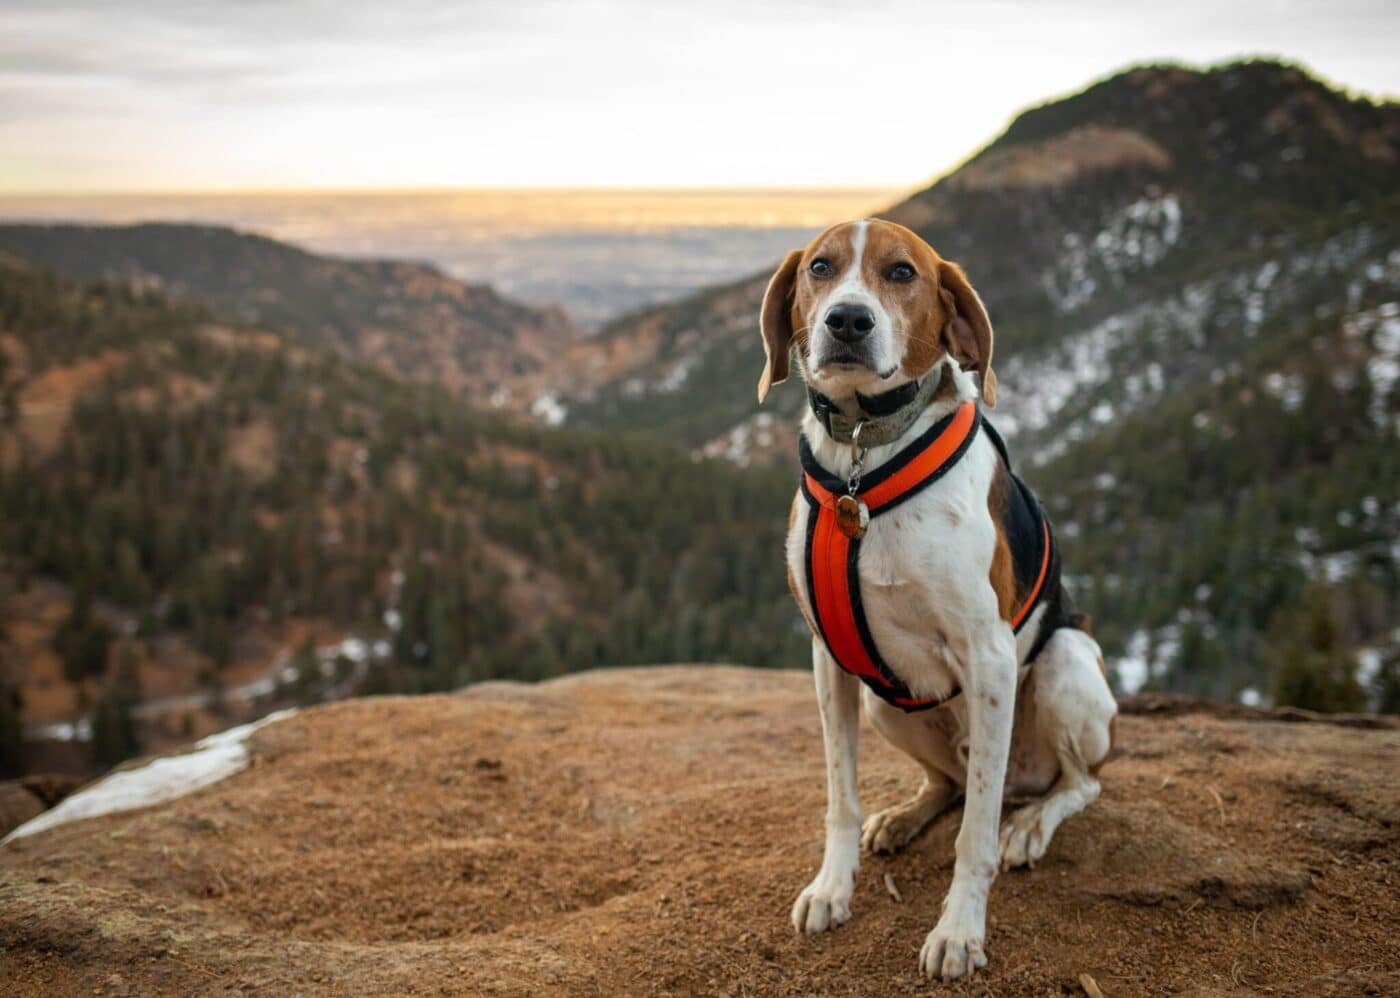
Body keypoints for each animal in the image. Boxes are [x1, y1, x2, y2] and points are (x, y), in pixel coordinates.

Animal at [761, 219, 1120, 979]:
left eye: (902, 273)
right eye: (820, 268)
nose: (848, 320)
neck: (864, 452)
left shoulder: (989, 660)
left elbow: (973, 837)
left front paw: (959, 930)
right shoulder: (830, 660)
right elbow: (839, 796)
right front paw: (832, 888)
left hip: (1066, 663)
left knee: (1076, 784)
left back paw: (1031, 824)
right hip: (882, 700)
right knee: (950, 783)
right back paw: (904, 816)